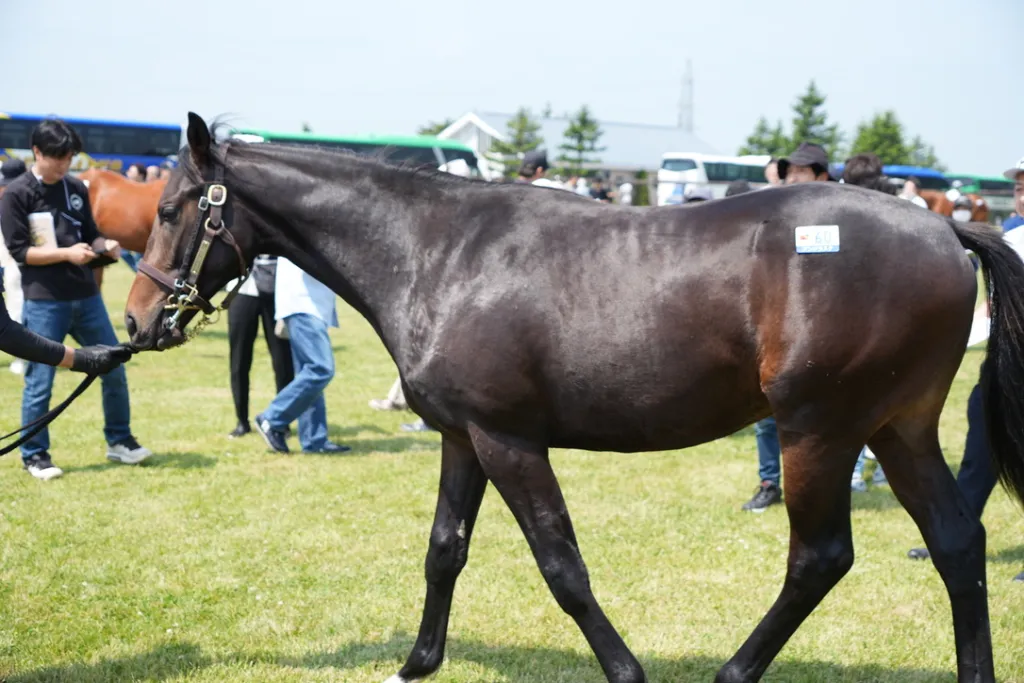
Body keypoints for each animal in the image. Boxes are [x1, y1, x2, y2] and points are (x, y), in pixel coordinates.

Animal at [125, 113, 1024, 683]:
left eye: (170, 208)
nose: (136, 320)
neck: (438, 252)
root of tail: (943, 228)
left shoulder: (509, 440)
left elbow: (562, 566)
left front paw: (625, 669)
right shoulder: (463, 437)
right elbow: (444, 549)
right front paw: (415, 664)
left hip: (820, 430)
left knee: (820, 558)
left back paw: (734, 669)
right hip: (899, 428)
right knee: (957, 543)